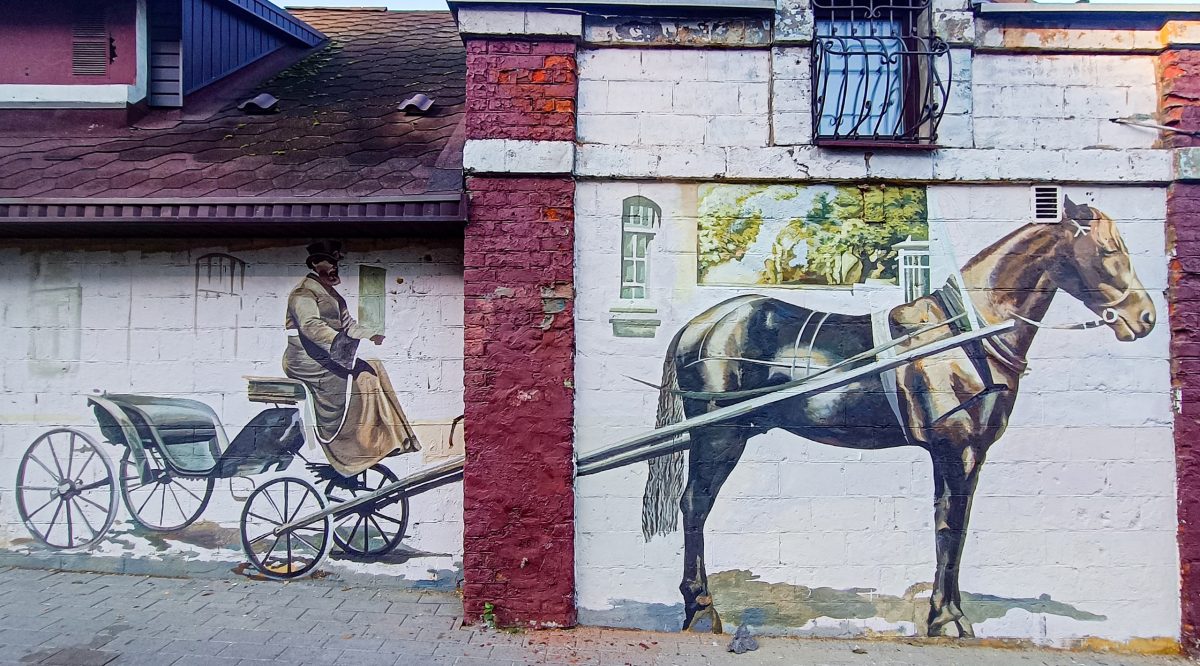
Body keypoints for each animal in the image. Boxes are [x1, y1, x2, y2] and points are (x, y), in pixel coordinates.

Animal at [643, 198, 1156, 633]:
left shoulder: (960, 454)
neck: (965, 336)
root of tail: (700, 325)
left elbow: (951, 524)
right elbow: (951, 525)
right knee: (695, 505)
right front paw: (948, 619)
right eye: (1108, 249)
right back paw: (700, 608)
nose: (1146, 317)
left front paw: (943, 612)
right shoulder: (957, 449)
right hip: (719, 437)